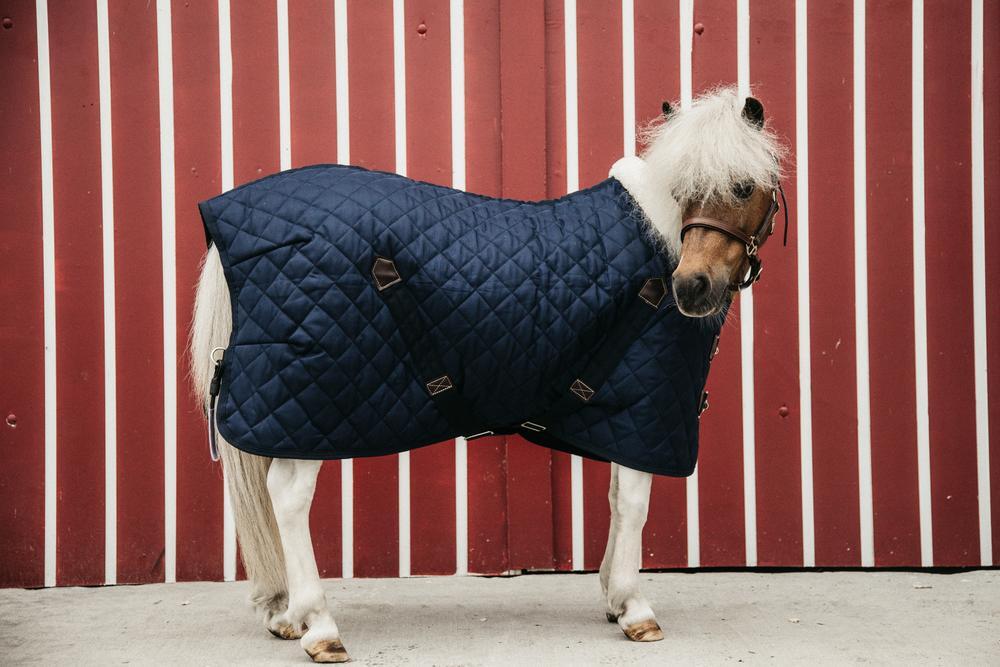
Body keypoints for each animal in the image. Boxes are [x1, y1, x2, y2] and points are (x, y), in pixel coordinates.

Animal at [190, 86, 786, 663]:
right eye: (685, 188)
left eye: (741, 186)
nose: (692, 288)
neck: (658, 247)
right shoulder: (647, 406)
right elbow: (634, 506)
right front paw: (635, 608)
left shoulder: (620, 418)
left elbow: (618, 500)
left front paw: (613, 601)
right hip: (312, 405)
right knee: (288, 499)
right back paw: (319, 626)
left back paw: (287, 616)